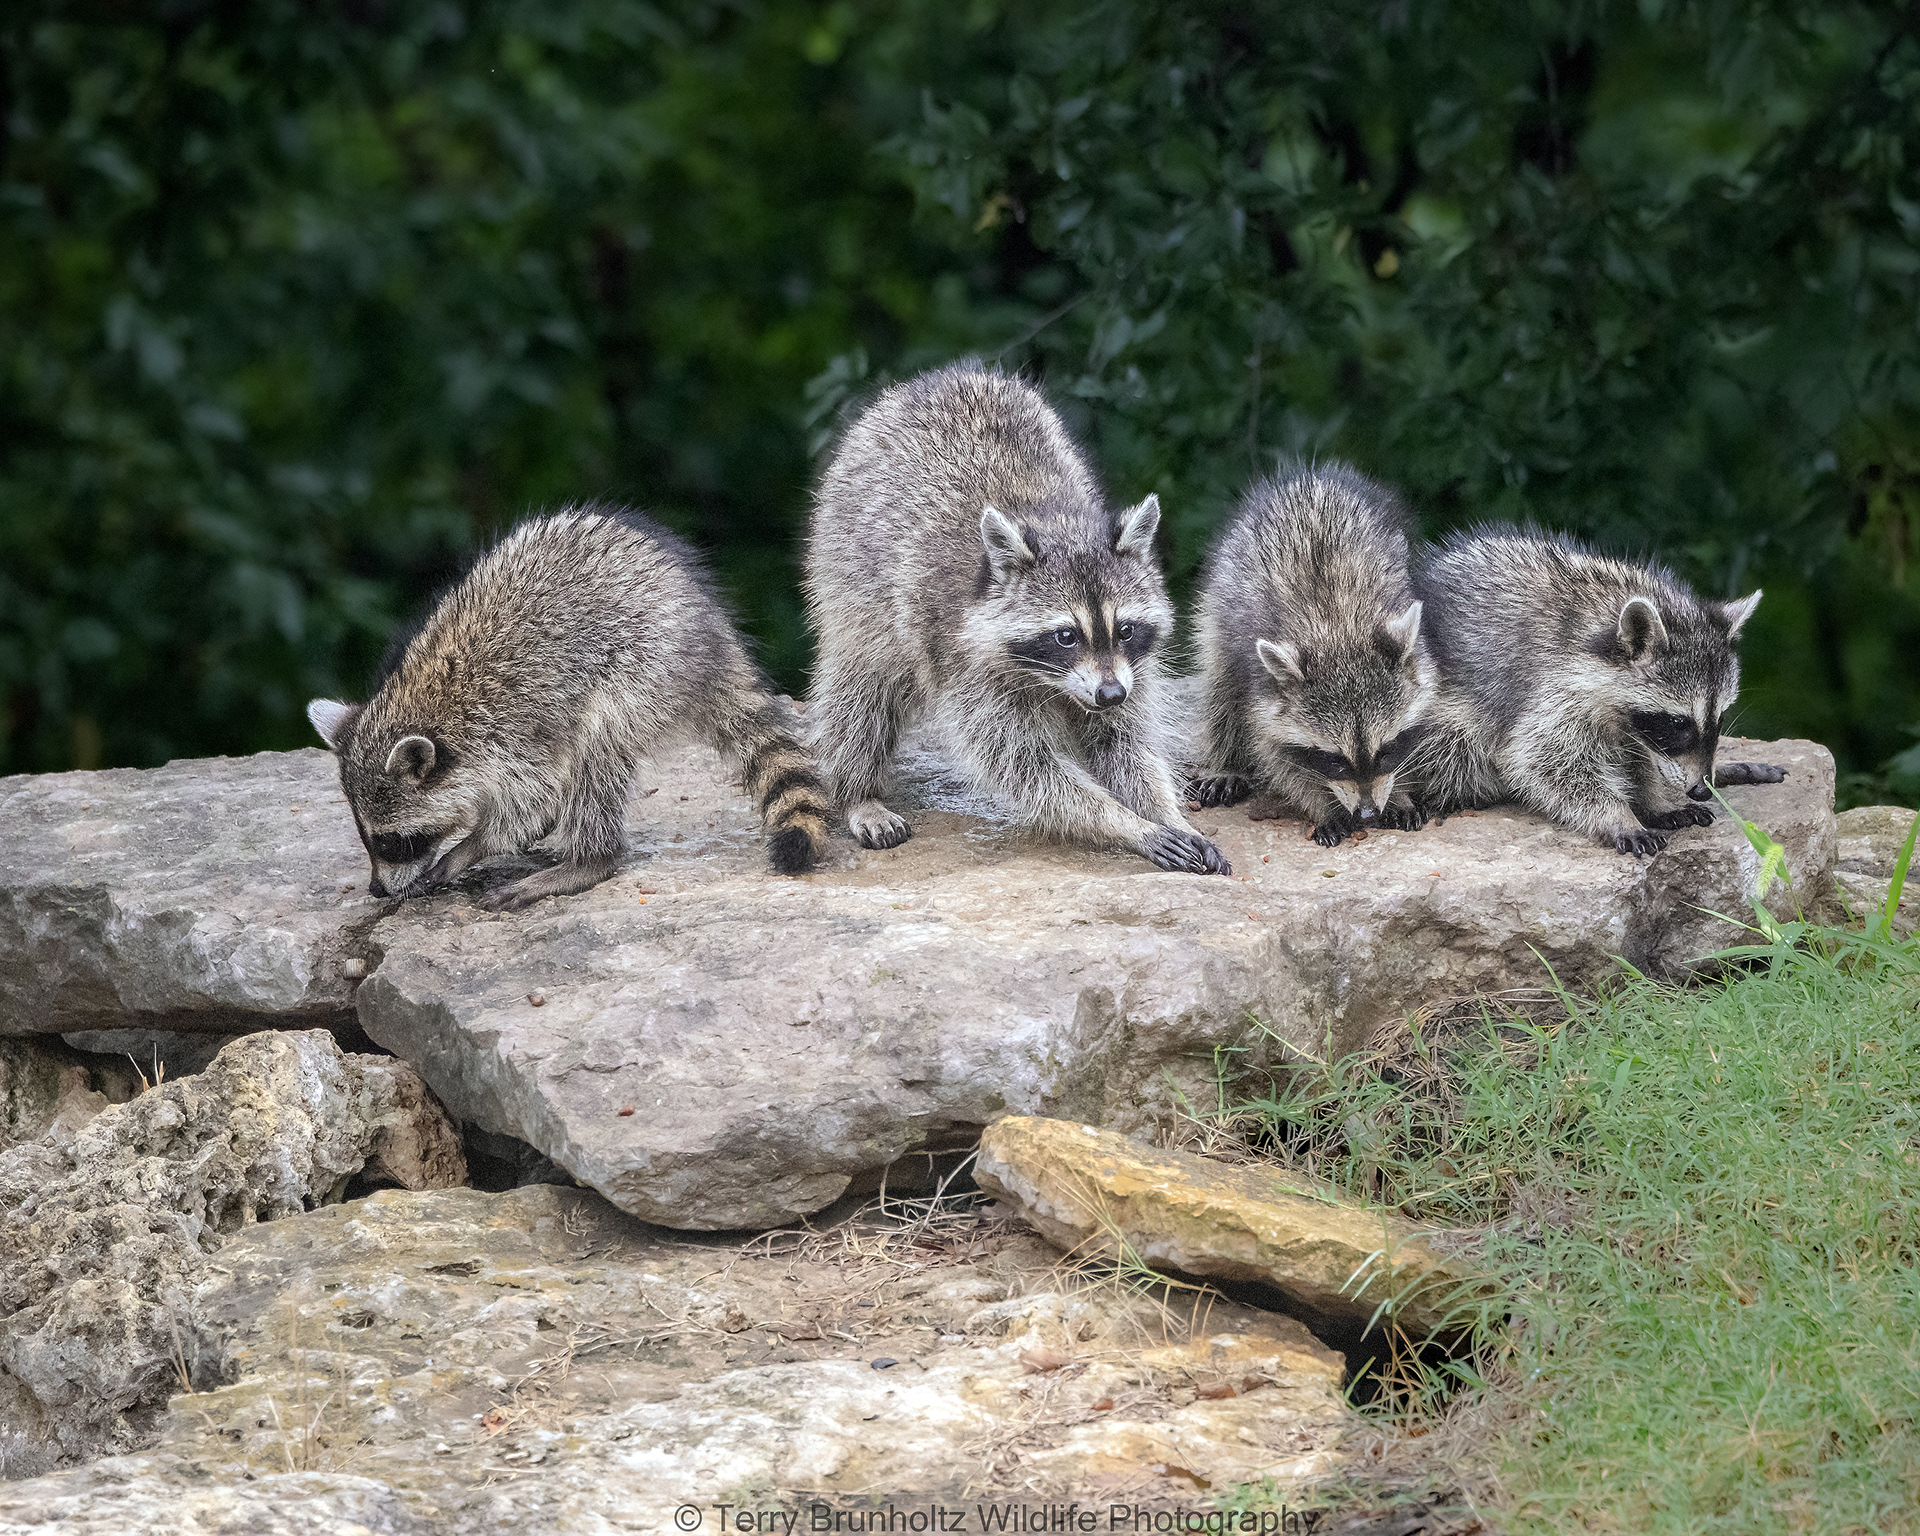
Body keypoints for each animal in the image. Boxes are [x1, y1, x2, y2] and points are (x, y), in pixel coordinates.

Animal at [306, 506, 830, 910]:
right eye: (365, 835)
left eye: (392, 841)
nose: (376, 890)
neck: (427, 707)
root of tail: (712, 638)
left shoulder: (514, 731)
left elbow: (530, 803)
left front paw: (472, 846)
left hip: (641, 670)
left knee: (597, 751)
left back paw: (589, 860)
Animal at [804, 362, 1229, 875]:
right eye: (1066, 636)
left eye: (1125, 629)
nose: (1110, 694)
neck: (1056, 523)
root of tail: (936, 377)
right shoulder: (968, 667)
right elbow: (1026, 766)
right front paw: (1125, 823)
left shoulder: (1131, 669)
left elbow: (1124, 743)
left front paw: (1165, 812)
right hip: (850, 575)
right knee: (862, 689)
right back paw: (857, 791)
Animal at [1187, 465, 1436, 847]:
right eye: (1334, 759)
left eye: (1385, 750)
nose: (1367, 813)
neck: (1337, 629)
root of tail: (1308, 477)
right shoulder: (1265, 688)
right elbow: (1276, 755)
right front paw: (1321, 806)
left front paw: (1400, 793)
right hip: (1219, 606)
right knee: (1220, 684)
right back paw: (1225, 762)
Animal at [1412, 526, 1780, 857]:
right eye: (1679, 723)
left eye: (1721, 717)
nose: (1702, 789)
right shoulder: (1556, 690)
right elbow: (1545, 761)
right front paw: (1619, 814)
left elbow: (1638, 757)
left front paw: (1653, 799)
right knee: (1451, 746)